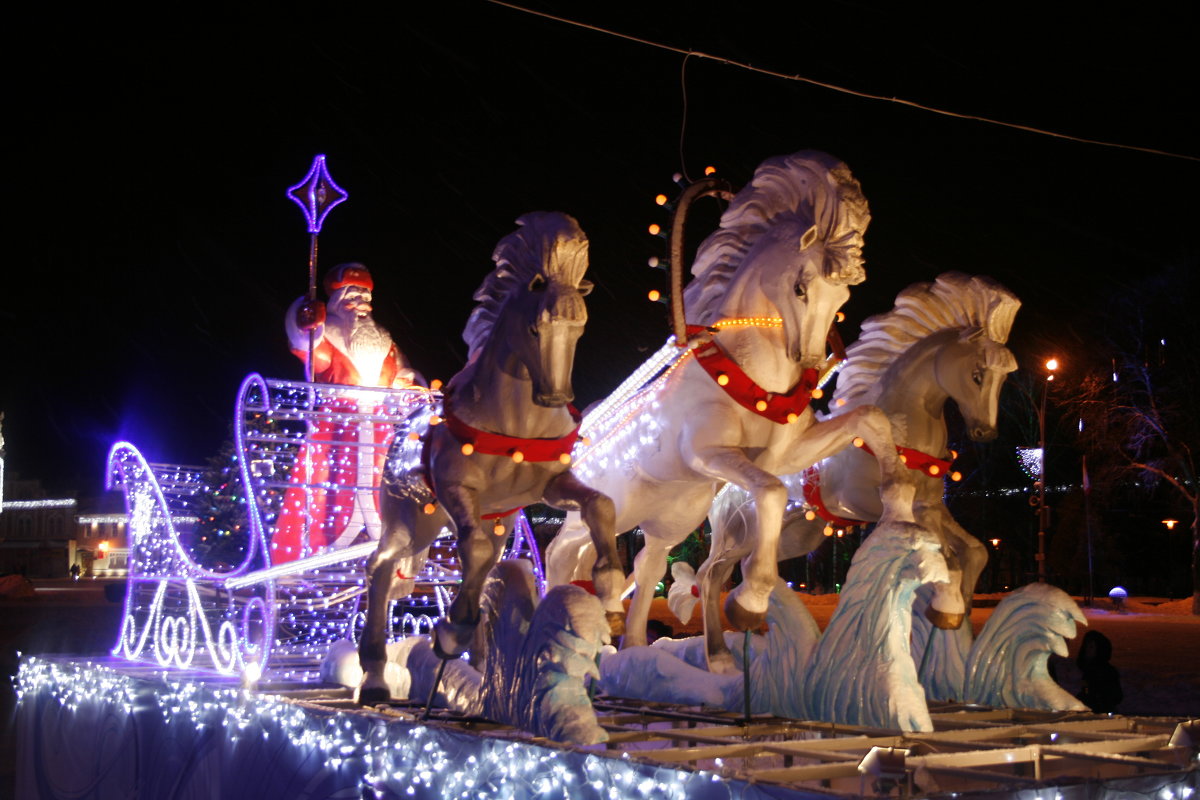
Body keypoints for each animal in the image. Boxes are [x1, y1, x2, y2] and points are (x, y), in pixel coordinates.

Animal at [549, 151, 907, 657]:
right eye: (801, 287)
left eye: (843, 295)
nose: (810, 360)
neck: (751, 375)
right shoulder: (710, 452)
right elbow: (772, 493)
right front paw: (749, 602)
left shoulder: (785, 454)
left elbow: (870, 420)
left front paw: (899, 502)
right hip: (606, 505)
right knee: (562, 553)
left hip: (670, 517)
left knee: (647, 563)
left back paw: (633, 645)